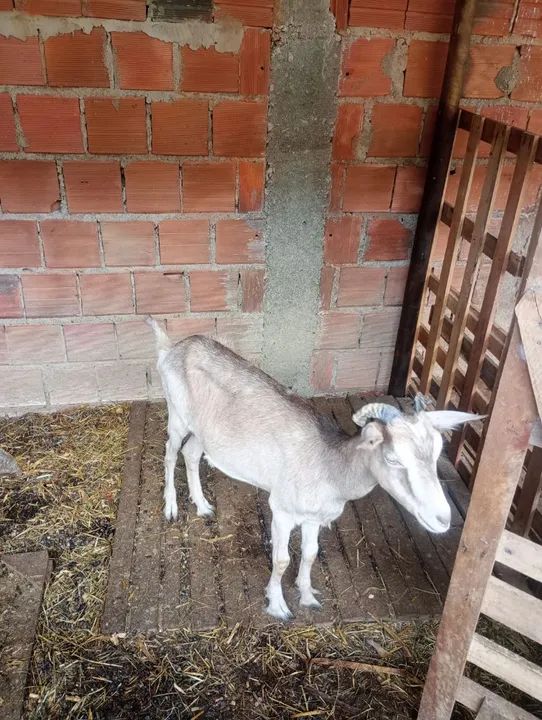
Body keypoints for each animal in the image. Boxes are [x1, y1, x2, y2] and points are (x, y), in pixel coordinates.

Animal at [148, 318, 482, 620]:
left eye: (437, 451)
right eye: (392, 457)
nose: (442, 519)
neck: (330, 468)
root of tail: (171, 348)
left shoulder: (314, 517)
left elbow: (309, 555)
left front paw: (307, 596)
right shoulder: (282, 510)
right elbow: (281, 560)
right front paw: (278, 606)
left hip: (205, 432)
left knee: (191, 453)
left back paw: (203, 506)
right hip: (177, 414)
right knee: (170, 453)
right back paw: (171, 508)